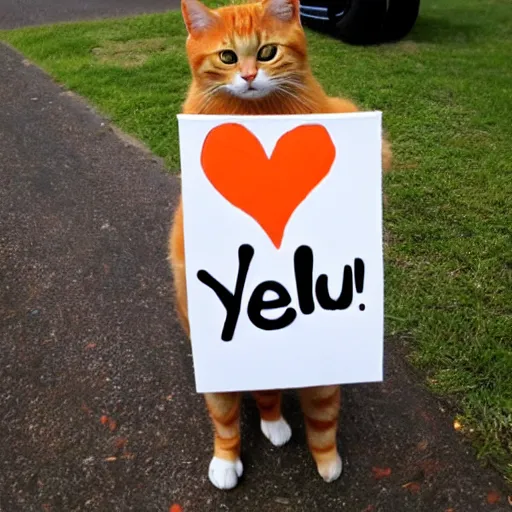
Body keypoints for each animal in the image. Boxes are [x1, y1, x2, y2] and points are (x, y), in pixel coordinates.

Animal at [169, 0, 392, 490]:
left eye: (267, 52)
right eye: (228, 57)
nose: (250, 75)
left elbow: (318, 414)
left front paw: (326, 461)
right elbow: (224, 417)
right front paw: (226, 460)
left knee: (271, 394)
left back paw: (276, 424)